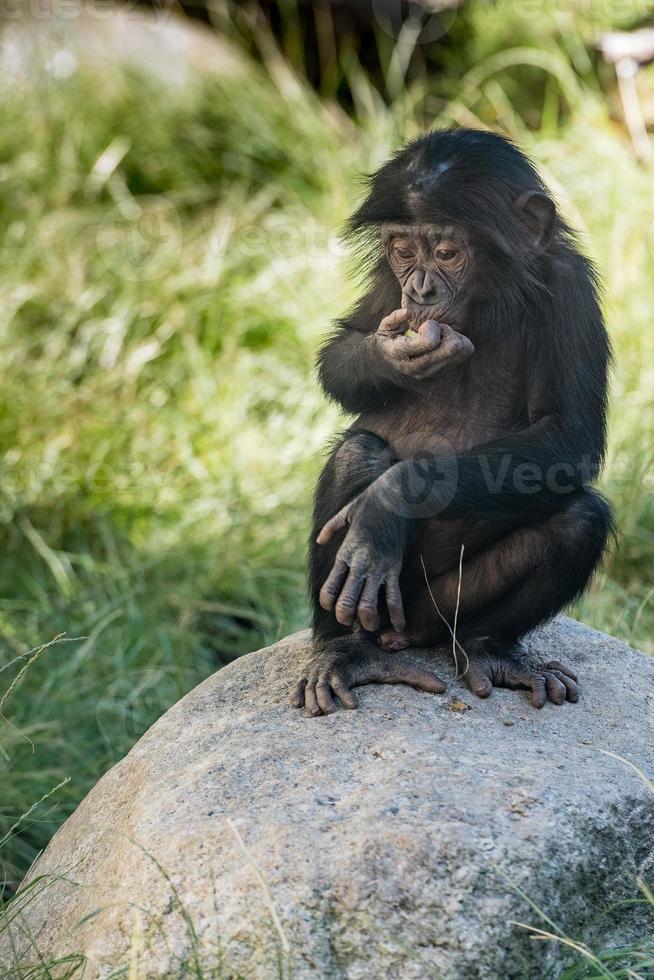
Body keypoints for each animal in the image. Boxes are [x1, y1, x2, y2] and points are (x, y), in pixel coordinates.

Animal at [292, 126, 616, 716]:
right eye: (402, 250)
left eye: (446, 252)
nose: (419, 288)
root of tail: (401, 634)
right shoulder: (385, 281)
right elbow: (342, 350)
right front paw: (394, 355)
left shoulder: (571, 287)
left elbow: (568, 436)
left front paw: (388, 502)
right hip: (383, 606)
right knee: (358, 453)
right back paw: (343, 652)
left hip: (432, 610)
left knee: (579, 520)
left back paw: (492, 650)